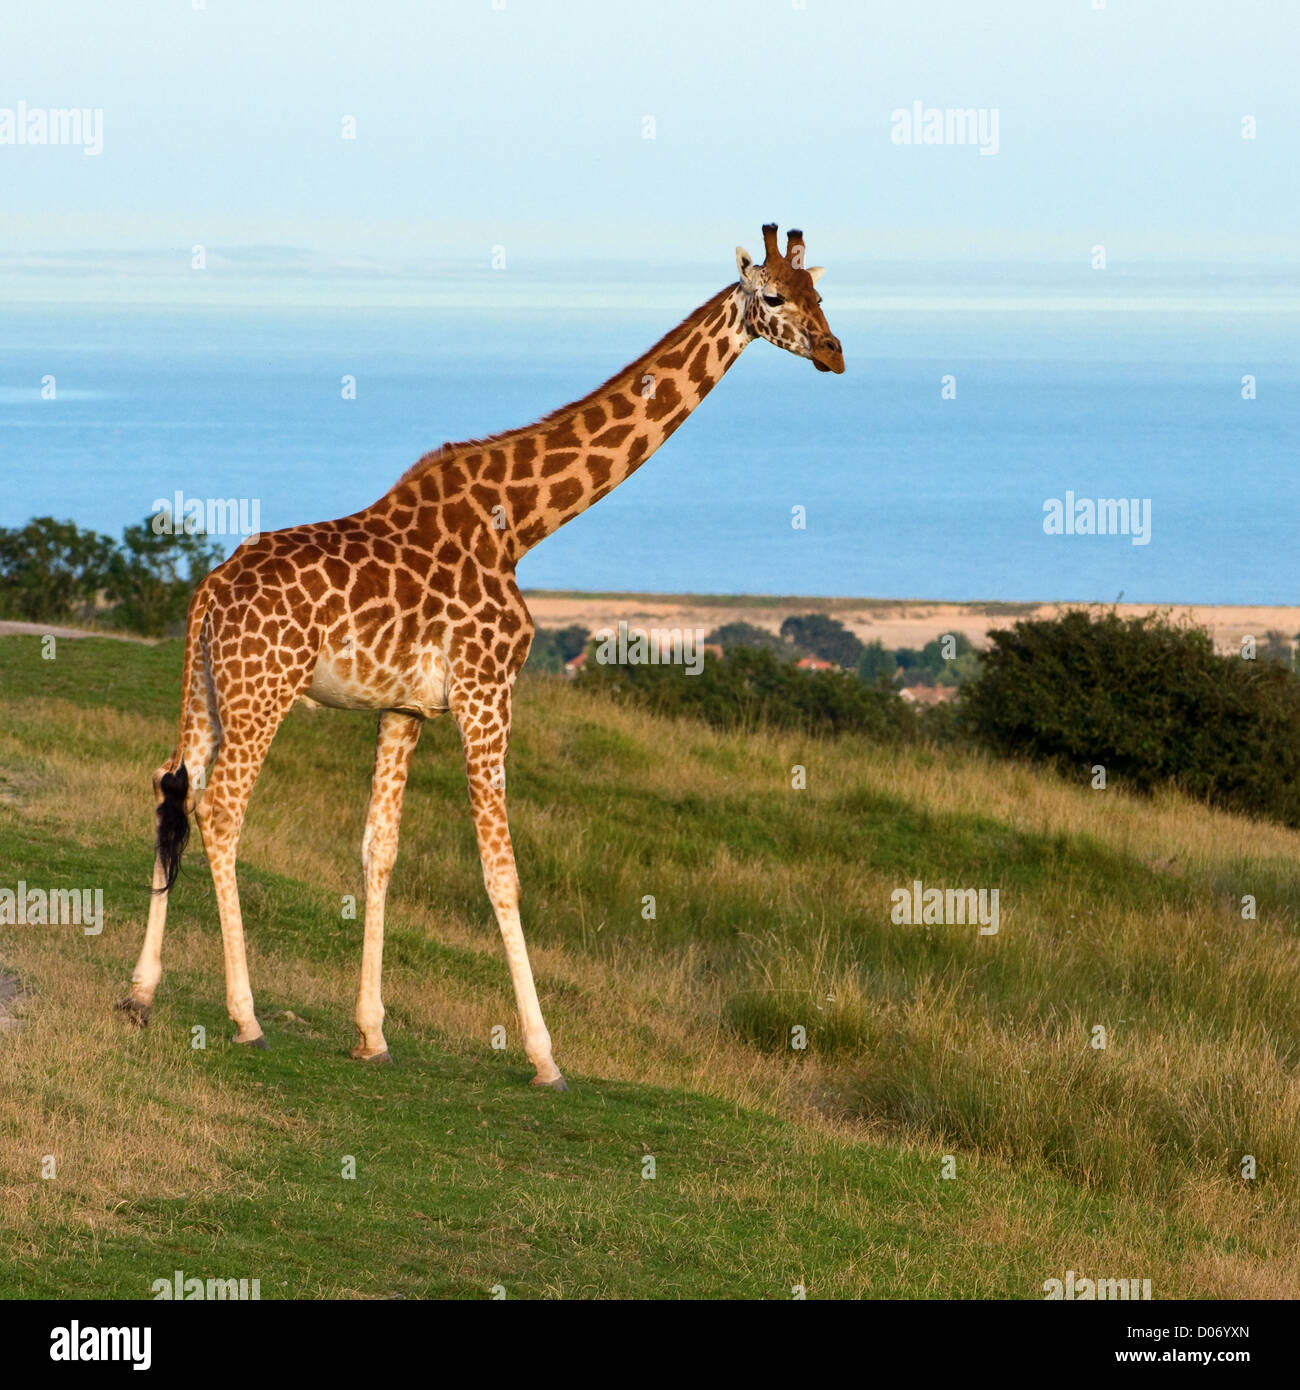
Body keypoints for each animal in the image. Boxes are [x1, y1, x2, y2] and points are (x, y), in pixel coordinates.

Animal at [117, 224, 844, 1090]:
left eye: (822, 293)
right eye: (772, 296)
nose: (833, 351)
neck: (522, 522)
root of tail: (207, 591)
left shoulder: (405, 708)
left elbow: (379, 851)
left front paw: (372, 1035)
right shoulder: (486, 689)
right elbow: (503, 871)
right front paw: (545, 1055)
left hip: (206, 690)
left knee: (173, 791)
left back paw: (141, 994)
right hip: (264, 689)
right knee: (222, 807)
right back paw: (246, 1017)